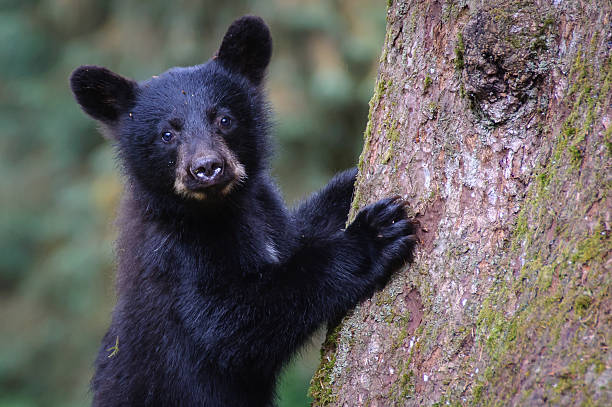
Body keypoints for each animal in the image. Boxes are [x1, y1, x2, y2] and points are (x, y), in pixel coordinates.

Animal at [70, 15, 416, 407]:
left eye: (224, 119)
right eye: (166, 134)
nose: (207, 168)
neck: (224, 208)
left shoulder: (267, 215)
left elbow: (302, 230)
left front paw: (351, 181)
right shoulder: (178, 257)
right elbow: (234, 322)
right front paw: (374, 235)